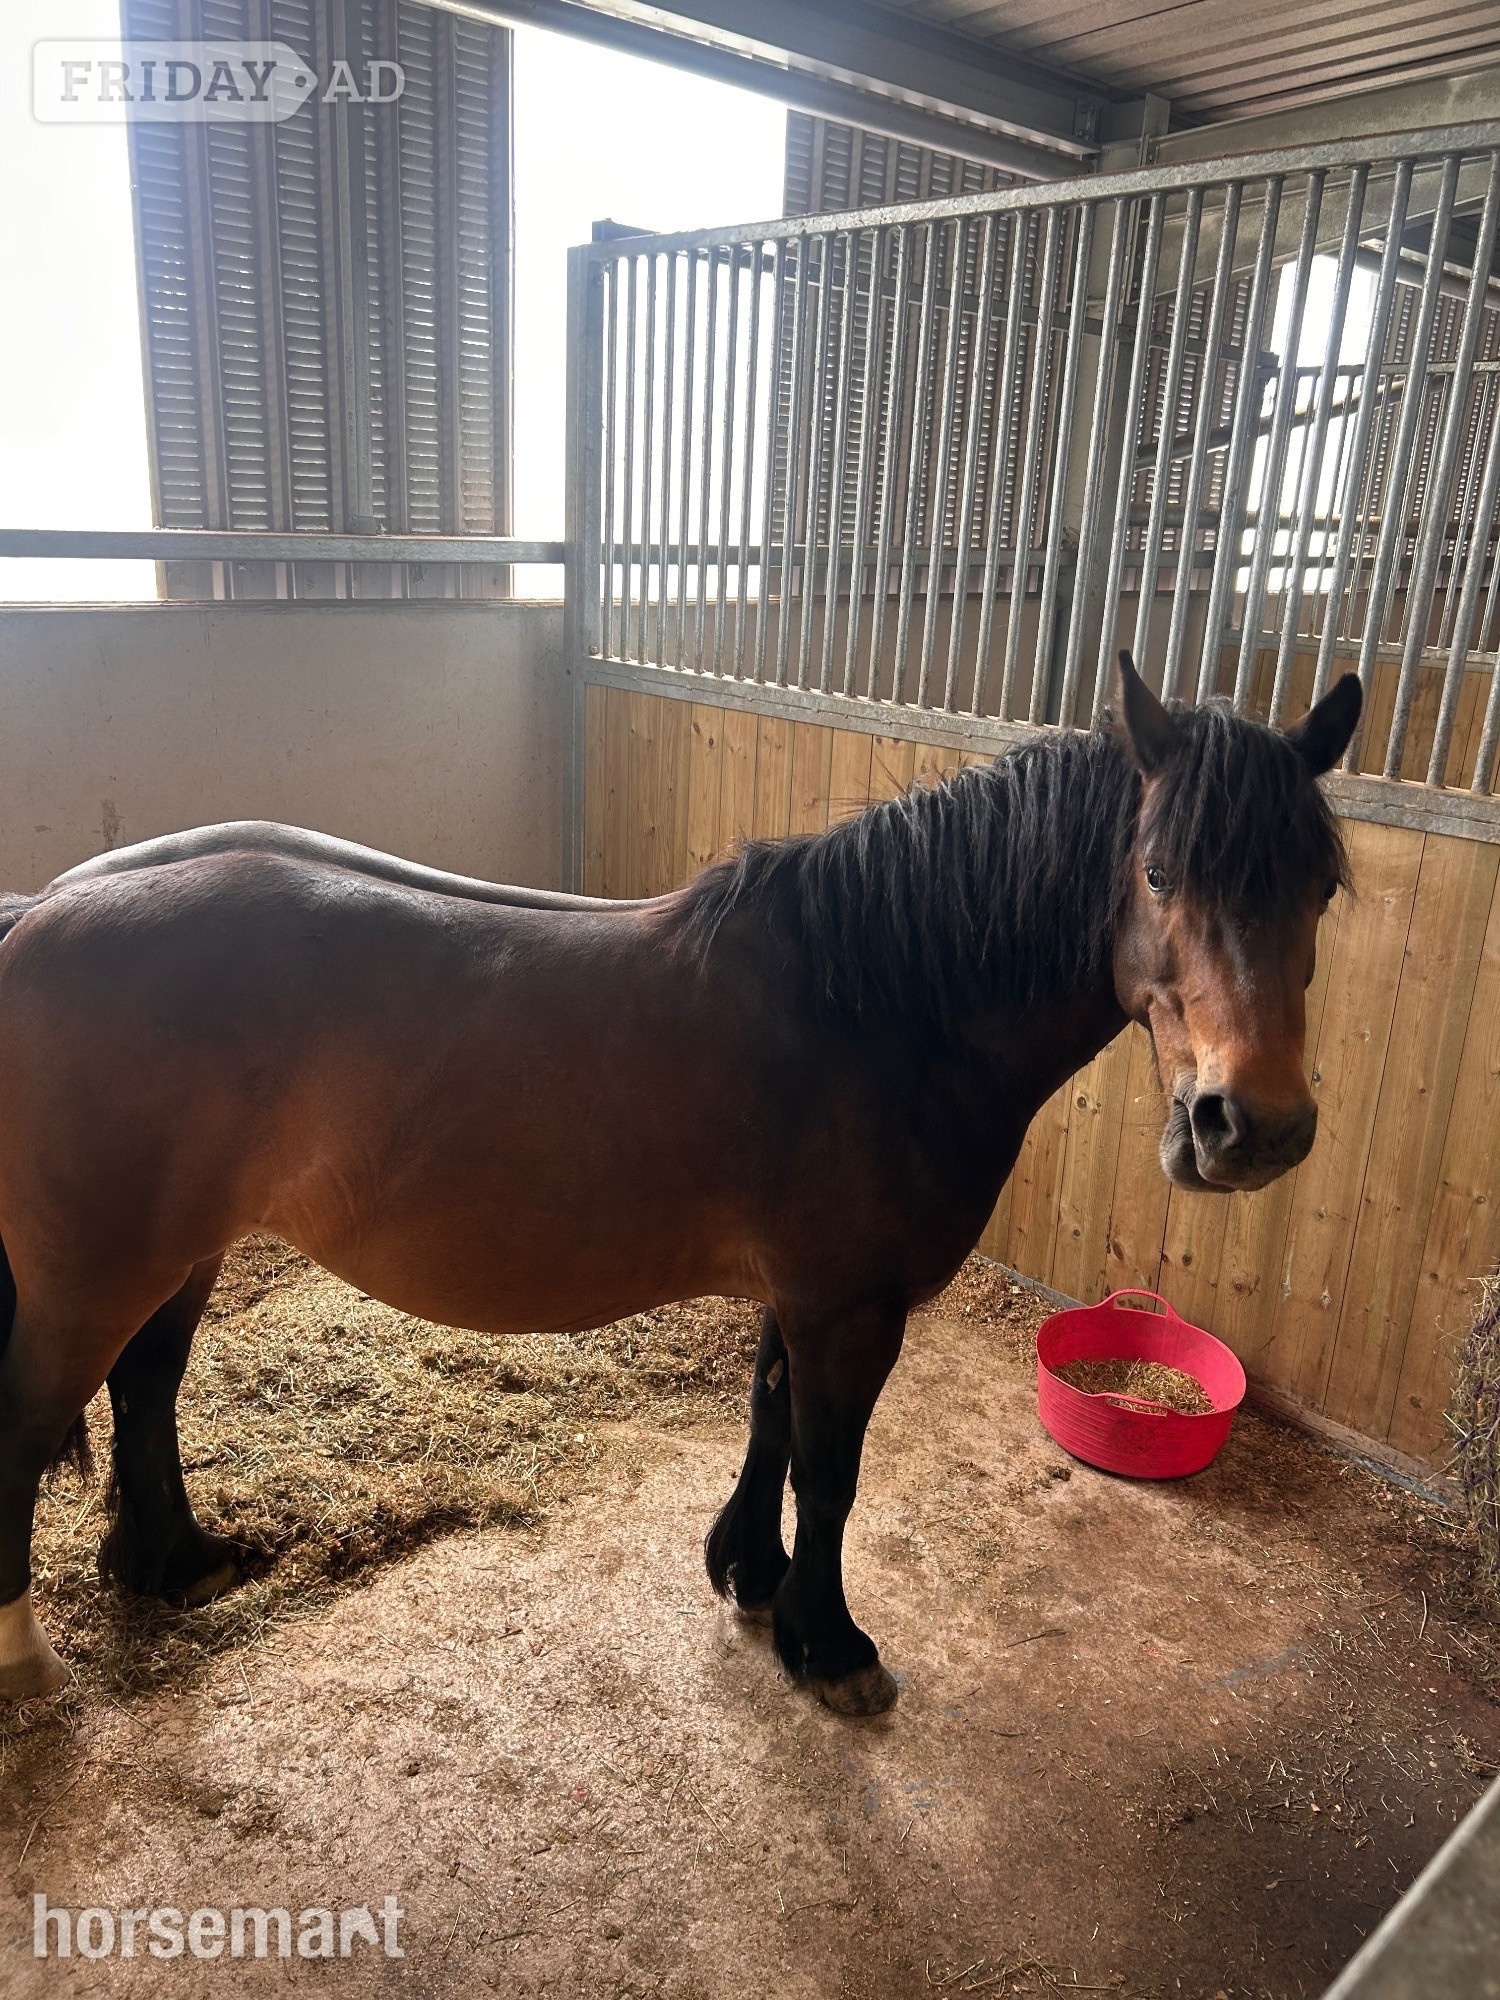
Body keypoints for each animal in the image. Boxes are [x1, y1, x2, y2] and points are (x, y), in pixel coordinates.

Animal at [0, 655, 1361, 1715]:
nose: (1250, 1125)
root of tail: (38, 916)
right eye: (1161, 871)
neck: (875, 1005)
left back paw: (178, 1561)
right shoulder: (850, 1306)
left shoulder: (802, 1294)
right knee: (37, 1414)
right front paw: (831, 1643)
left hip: (183, 1253)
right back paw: (28, 1660)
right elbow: (830, 1465)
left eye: (1321, 886)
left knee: (148, 1388)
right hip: (95, 1273)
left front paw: (751, 1577)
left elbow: (769, 1421)